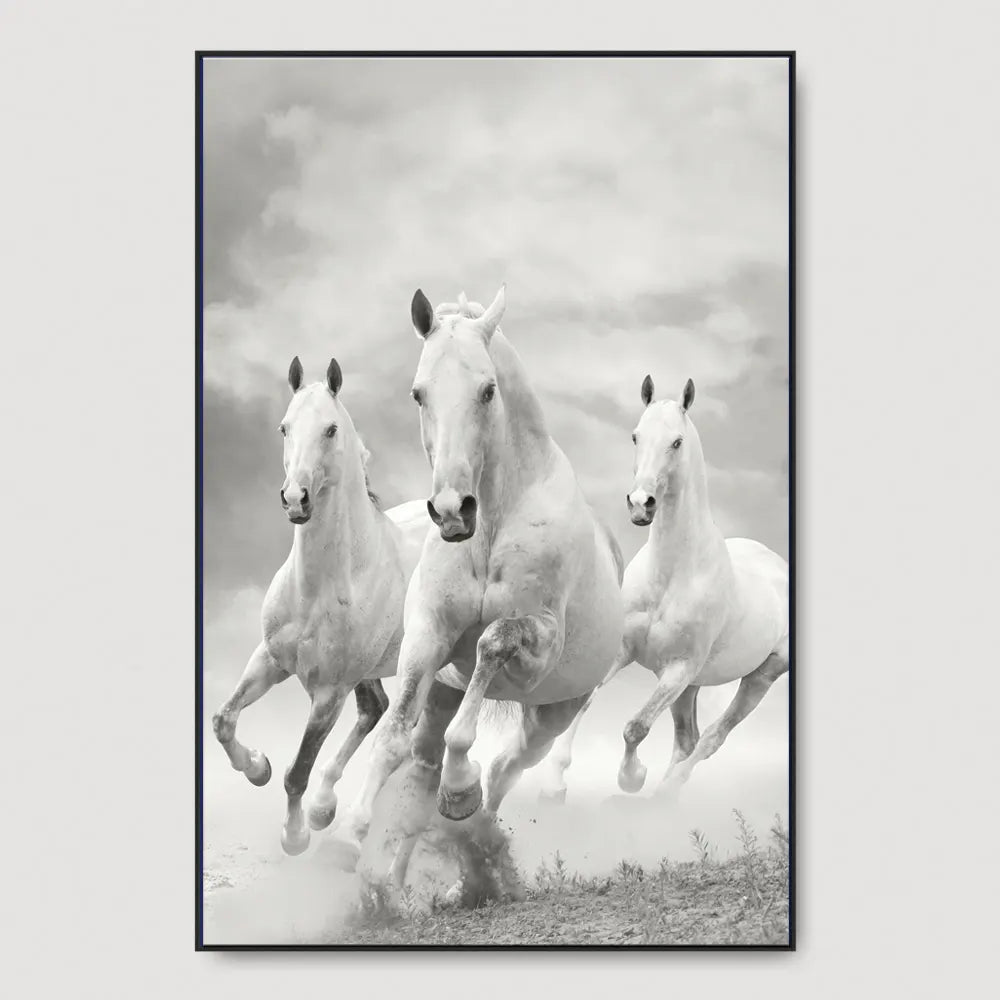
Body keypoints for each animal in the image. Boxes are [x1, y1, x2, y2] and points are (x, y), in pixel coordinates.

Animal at [210, 356, 427, 855]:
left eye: (330, 429)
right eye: (284, 427)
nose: (295, 499)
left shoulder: (329, 692)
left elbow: (297, 772)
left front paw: (295, 836)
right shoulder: (270, 659)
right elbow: (223, 719)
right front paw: (257, 767)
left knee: (396, 727)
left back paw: (336, 818)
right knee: (375, 709)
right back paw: (326, 807)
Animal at [335, 286, 625, 884]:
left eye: (488, 390)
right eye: (418, 393)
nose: (452, 511)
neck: (492, 524)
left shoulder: (538, 642)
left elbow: (492, 646)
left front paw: (459, 788)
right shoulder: (427, 636)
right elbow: (393, 736)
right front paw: (351, 833)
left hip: (554, 713)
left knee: (505, 768)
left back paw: (473, 835)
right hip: (445, 694)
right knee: (424, 764)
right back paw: (397, 876)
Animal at [539, 373, 789, 801]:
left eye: (677, 442)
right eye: (635, 436)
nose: (641, 504)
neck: (671, 576)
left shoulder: (677, 670)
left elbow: (635, 727)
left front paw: (632, 776)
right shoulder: (624, 650)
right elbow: (585, 701)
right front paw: (555, 783)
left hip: (759, 676)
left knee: (712, 739)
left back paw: (665, 793)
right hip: (692, 686)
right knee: (689, 739)